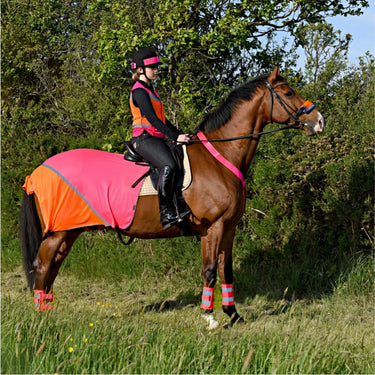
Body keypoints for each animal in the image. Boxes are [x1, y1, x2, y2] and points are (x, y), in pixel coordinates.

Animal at [21, 67, 326, 328]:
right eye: (288, 92)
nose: (319, 121)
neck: (219, 158)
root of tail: (37, 172)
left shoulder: (228, 228)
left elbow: (226, 271)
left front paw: (233, 315)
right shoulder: (213, 228)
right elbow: (209, 271)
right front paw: (209, 318)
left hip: (69, 230)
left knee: (54, 266)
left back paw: (48, 310)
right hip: (59, 231)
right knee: (43, 265)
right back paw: (40, 314)